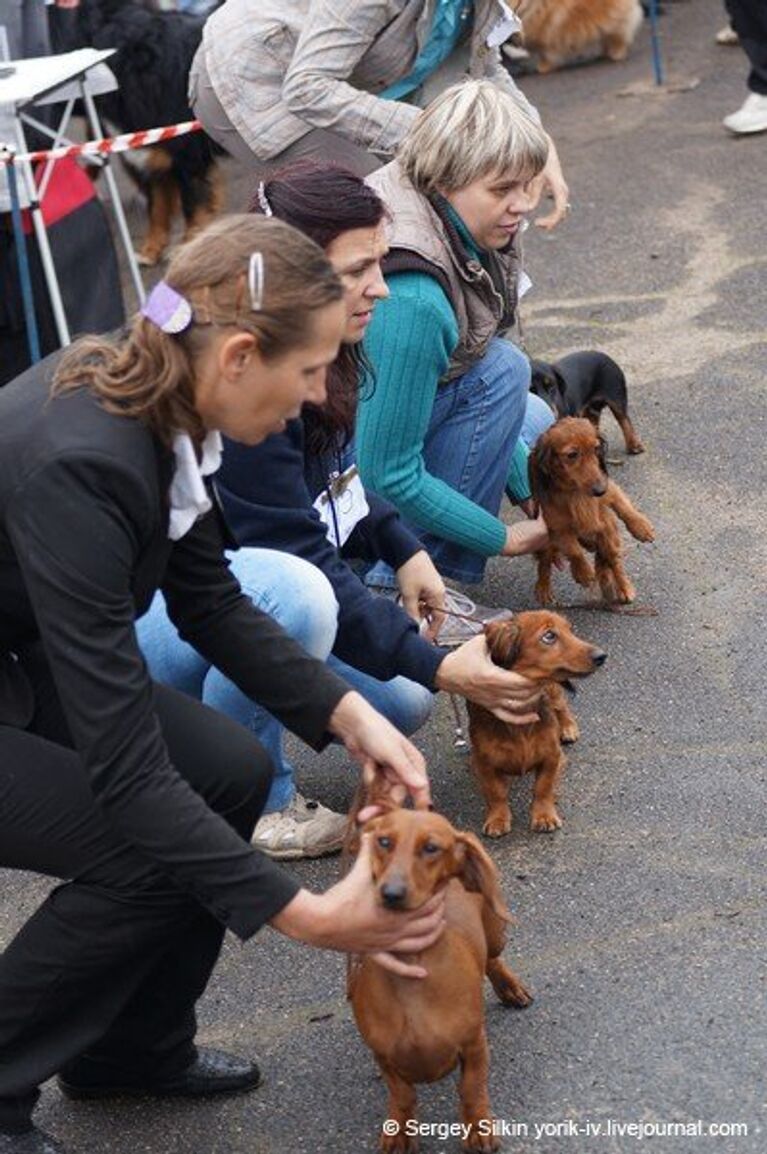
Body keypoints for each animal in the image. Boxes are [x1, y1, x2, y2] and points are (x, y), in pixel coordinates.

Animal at [51, 1, 221, 265]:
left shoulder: (188, 156)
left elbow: (192, 207)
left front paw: (188, 246)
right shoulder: (151, 152)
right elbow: (157, 206)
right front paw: (151, 249)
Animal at [348, 807, 532, 1149]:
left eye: (431, 848)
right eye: (383, 841)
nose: (391, 894)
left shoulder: (474, 1045)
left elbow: (471, 1088)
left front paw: (478, 1129)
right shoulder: (384, 1057)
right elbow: (402, 1095)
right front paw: (400, 1132)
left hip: (495, 933)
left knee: (492, 959)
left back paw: (511, 988)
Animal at [465, 613, 604, 840]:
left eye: (570, 630)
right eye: (549, 636)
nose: (602, 656)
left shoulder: (552, 756)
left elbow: (542, 787)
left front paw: (544, 816)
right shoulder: (483, 762)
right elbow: (496, 792)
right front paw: (498, 819)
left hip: (554, 691)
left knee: (561, 705)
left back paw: (568, 727)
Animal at [530, 415, 655, 604]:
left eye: (596, 449)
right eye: (572, 455)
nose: (599, 490)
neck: (576, 493)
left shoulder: (610, 490)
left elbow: (623, 506)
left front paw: (641, 527)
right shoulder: (558, 528)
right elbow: (573, 550)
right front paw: (583, 572)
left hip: (608, 536)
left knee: (614, 561)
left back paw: (624, 588)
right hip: (548, 542)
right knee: (544, 562)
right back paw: (543, 588)